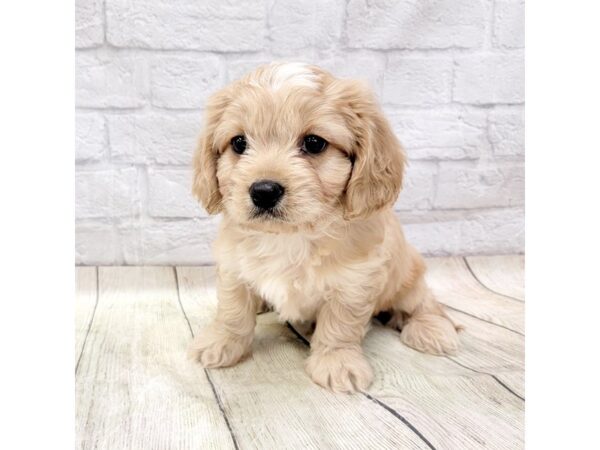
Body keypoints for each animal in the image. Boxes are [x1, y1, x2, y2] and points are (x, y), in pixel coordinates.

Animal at [189, 62, 460, 394]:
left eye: (314, 143)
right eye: (239, 143)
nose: (263, 191)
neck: (292, 235)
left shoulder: (355, 281)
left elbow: (340, 325)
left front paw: (337, 363)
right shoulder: (233, 267)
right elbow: (233, 310)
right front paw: (220, 343)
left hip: (408, 275)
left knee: (424, 303)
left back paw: (431, 330)